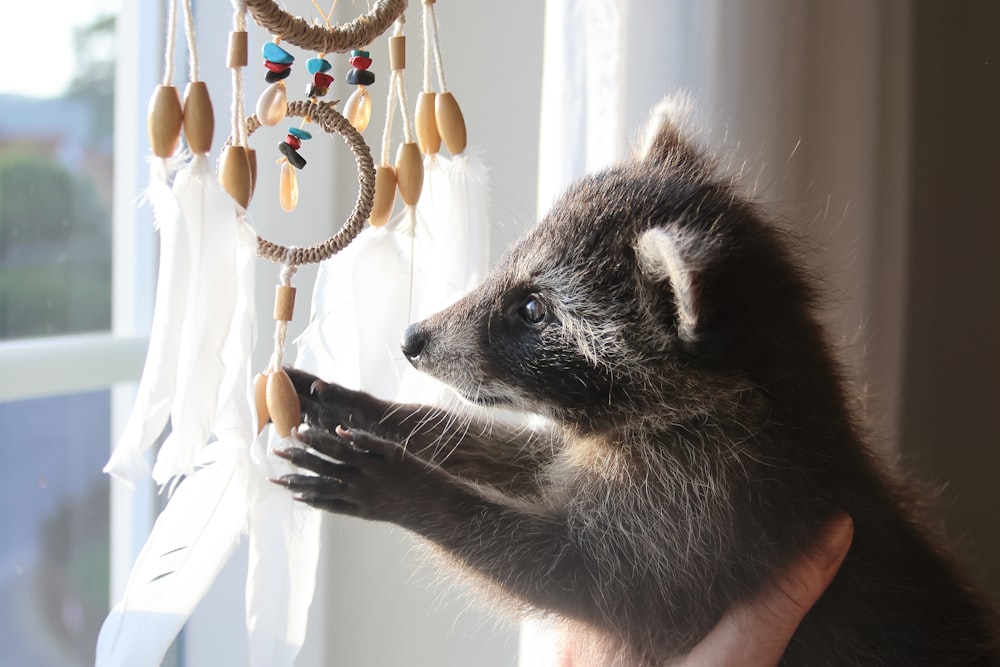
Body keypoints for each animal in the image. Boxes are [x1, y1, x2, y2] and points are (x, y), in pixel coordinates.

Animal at [274, 102, 1000, 664]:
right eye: (513, 271)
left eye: (532, 310)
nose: (411, 339)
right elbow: (517, 454)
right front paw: (378, 412)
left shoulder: (708, 522)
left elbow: (577, 575)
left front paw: (415, 490)